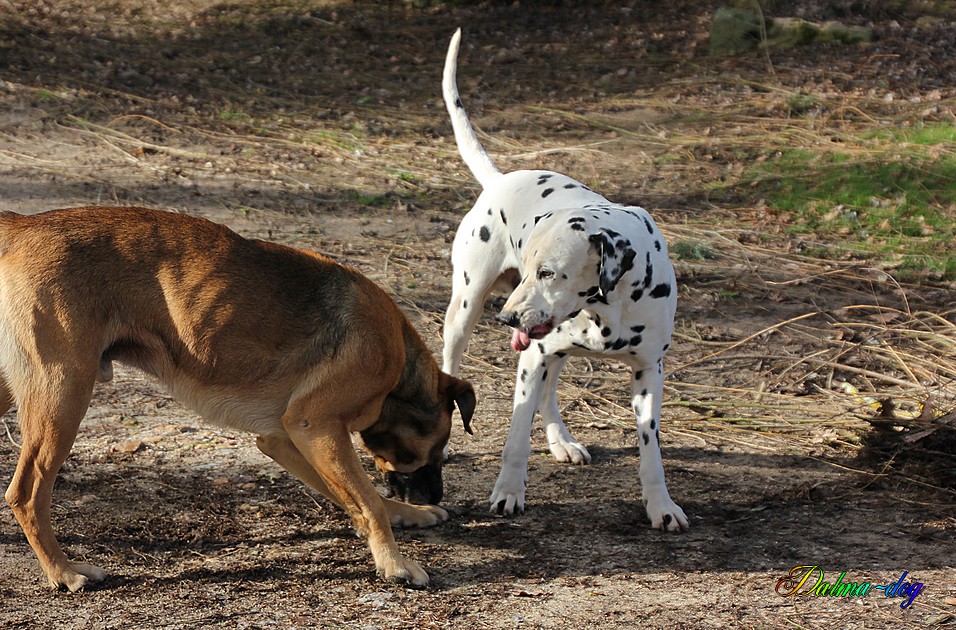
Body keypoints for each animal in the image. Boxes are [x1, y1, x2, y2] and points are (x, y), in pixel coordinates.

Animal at [0, 207, 476, 592]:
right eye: (439, 449)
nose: (438, 496)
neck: (400, 369)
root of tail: (23, 225)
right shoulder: (316, 427)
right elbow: (368, 500)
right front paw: (396, 564)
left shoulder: (288, 439)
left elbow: (354, 496)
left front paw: (405, 515)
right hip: (63, 399)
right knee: (25, 493)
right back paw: (63, 572)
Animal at [440, 29, 688, 532]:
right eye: (530, 263)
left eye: (549, 272)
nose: (507, 318)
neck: (612, 307)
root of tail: (500, 179)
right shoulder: (529, 357)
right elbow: (515, 438)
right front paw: (508, 493)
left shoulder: (648, 372)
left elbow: (650, 451)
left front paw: (661, 505)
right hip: (466, 312)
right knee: (453, 361)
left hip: (548, 346)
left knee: (550, 390)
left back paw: (560, 440)